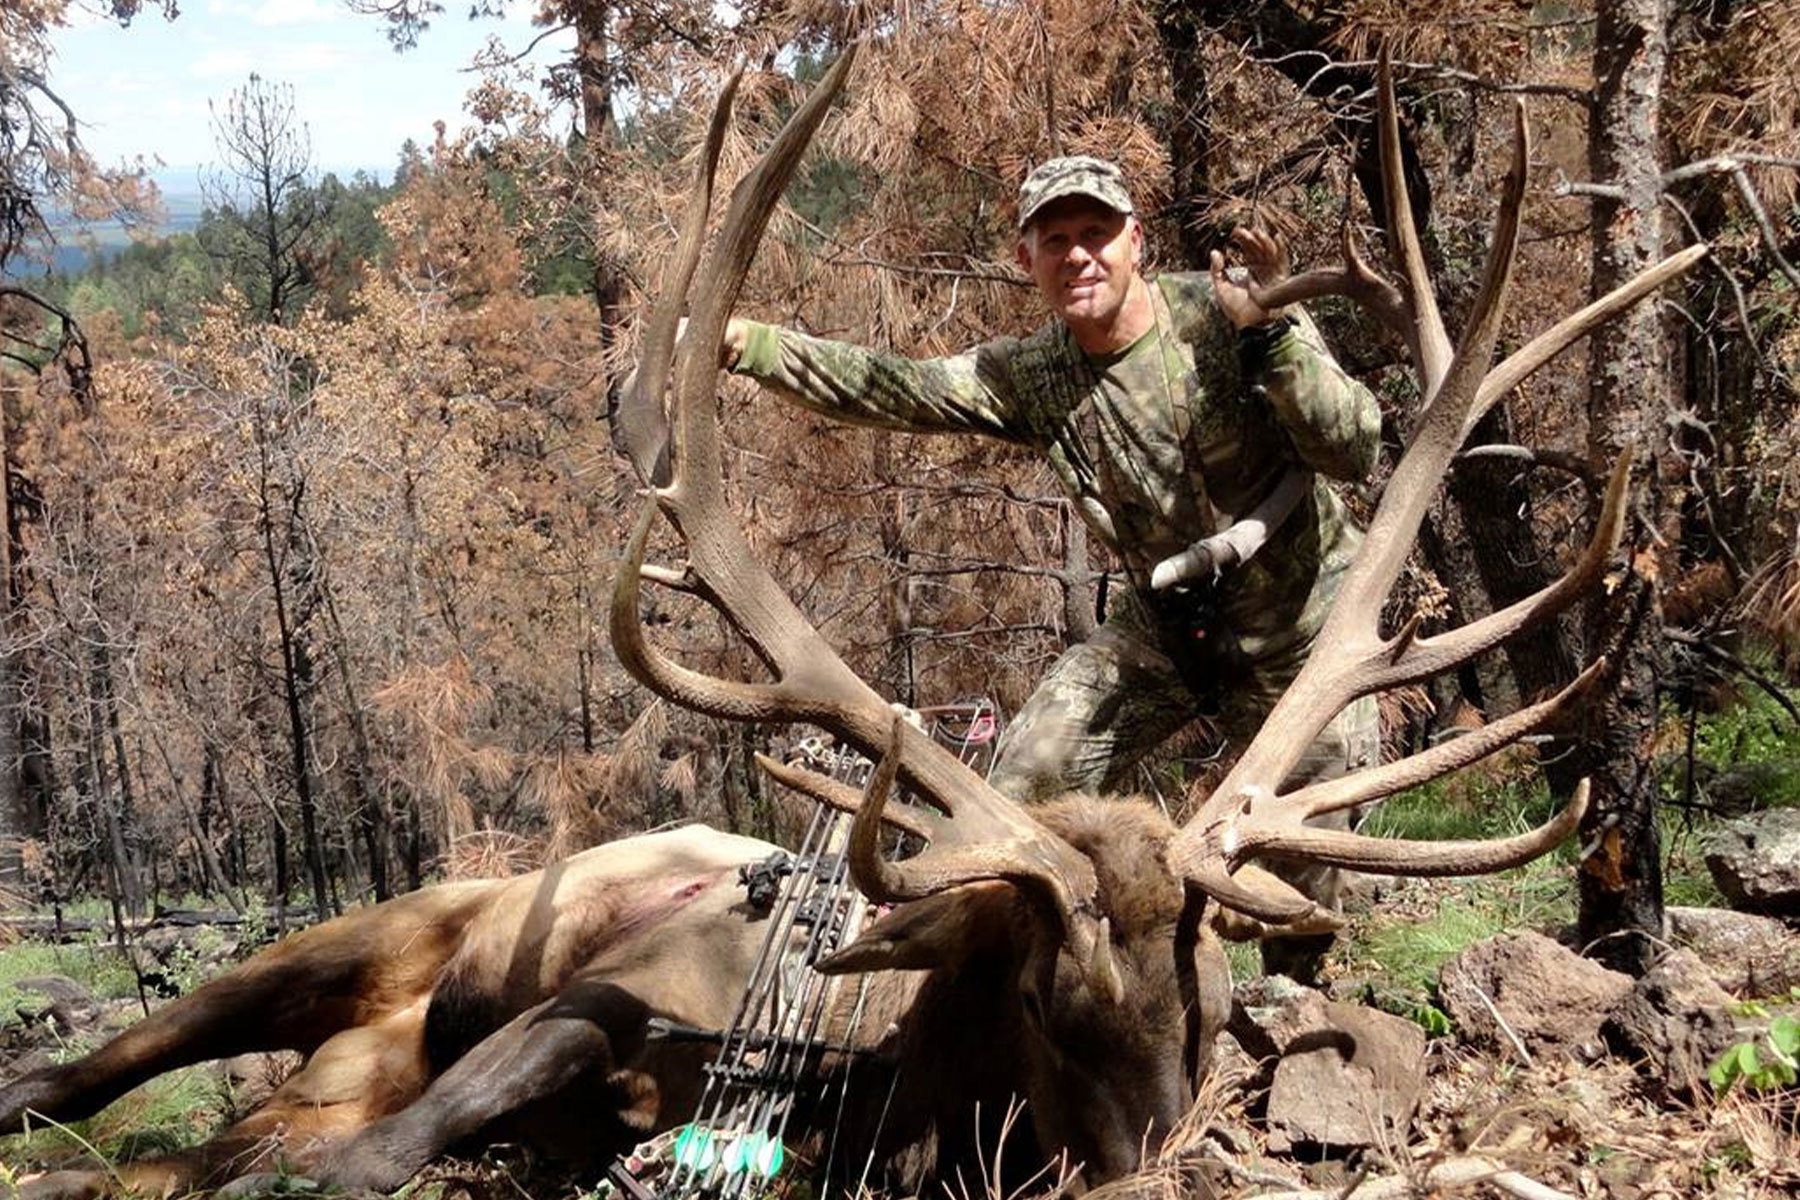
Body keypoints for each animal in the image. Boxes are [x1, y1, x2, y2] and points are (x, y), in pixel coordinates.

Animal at [0, 47, 1706, 1200]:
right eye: (1039, 996)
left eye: (1211, 1009)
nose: (1148, 1161)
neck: (871, 1087)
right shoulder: (602, 994)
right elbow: (380, 1146)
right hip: (350, 936)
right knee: (83, 1074)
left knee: (177, 1122)